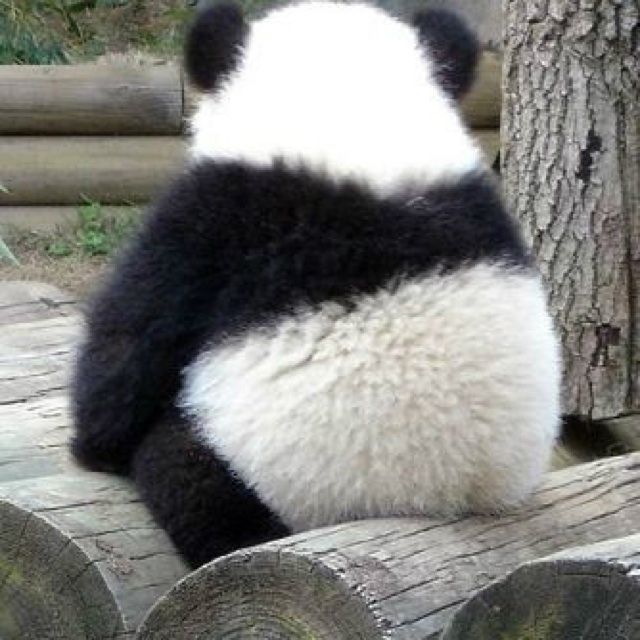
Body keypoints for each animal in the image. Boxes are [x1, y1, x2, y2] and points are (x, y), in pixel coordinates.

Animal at [71, 0, 560, 568]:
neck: (348, 115)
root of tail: (446, 500)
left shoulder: (215, 219)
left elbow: (129, 349)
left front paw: (92, 445)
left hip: (258, 471)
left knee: (189, 477)